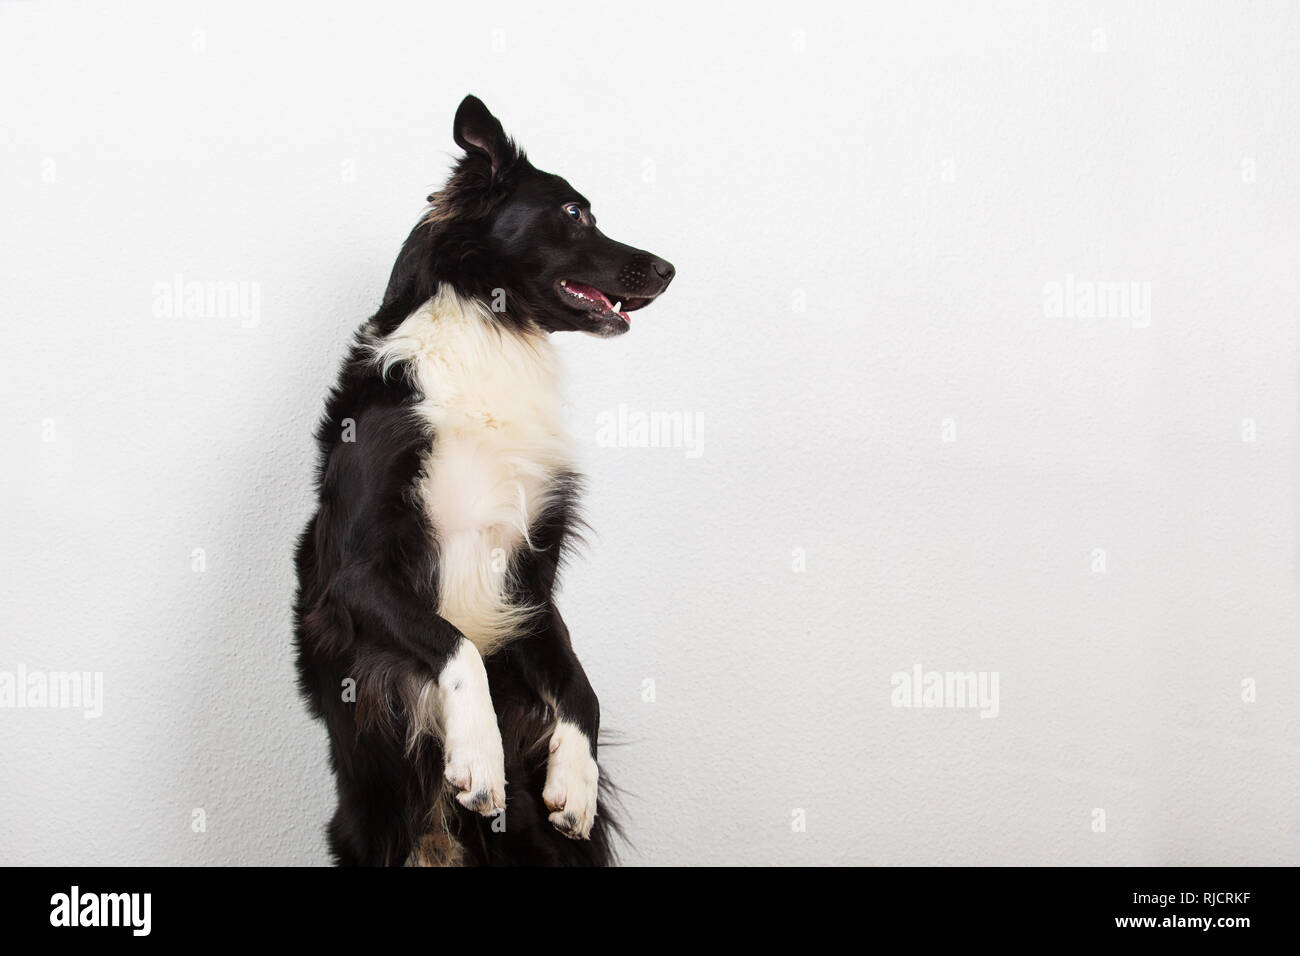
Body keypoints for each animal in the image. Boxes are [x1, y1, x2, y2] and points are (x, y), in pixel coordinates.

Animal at [291, 97, 676, 868]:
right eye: (574, 213)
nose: (669, 268)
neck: (493, 331)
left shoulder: (530, 584)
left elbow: (579, 685)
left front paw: (576, 781)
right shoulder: (356, 575)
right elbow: (452, 641)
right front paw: (478, 758)